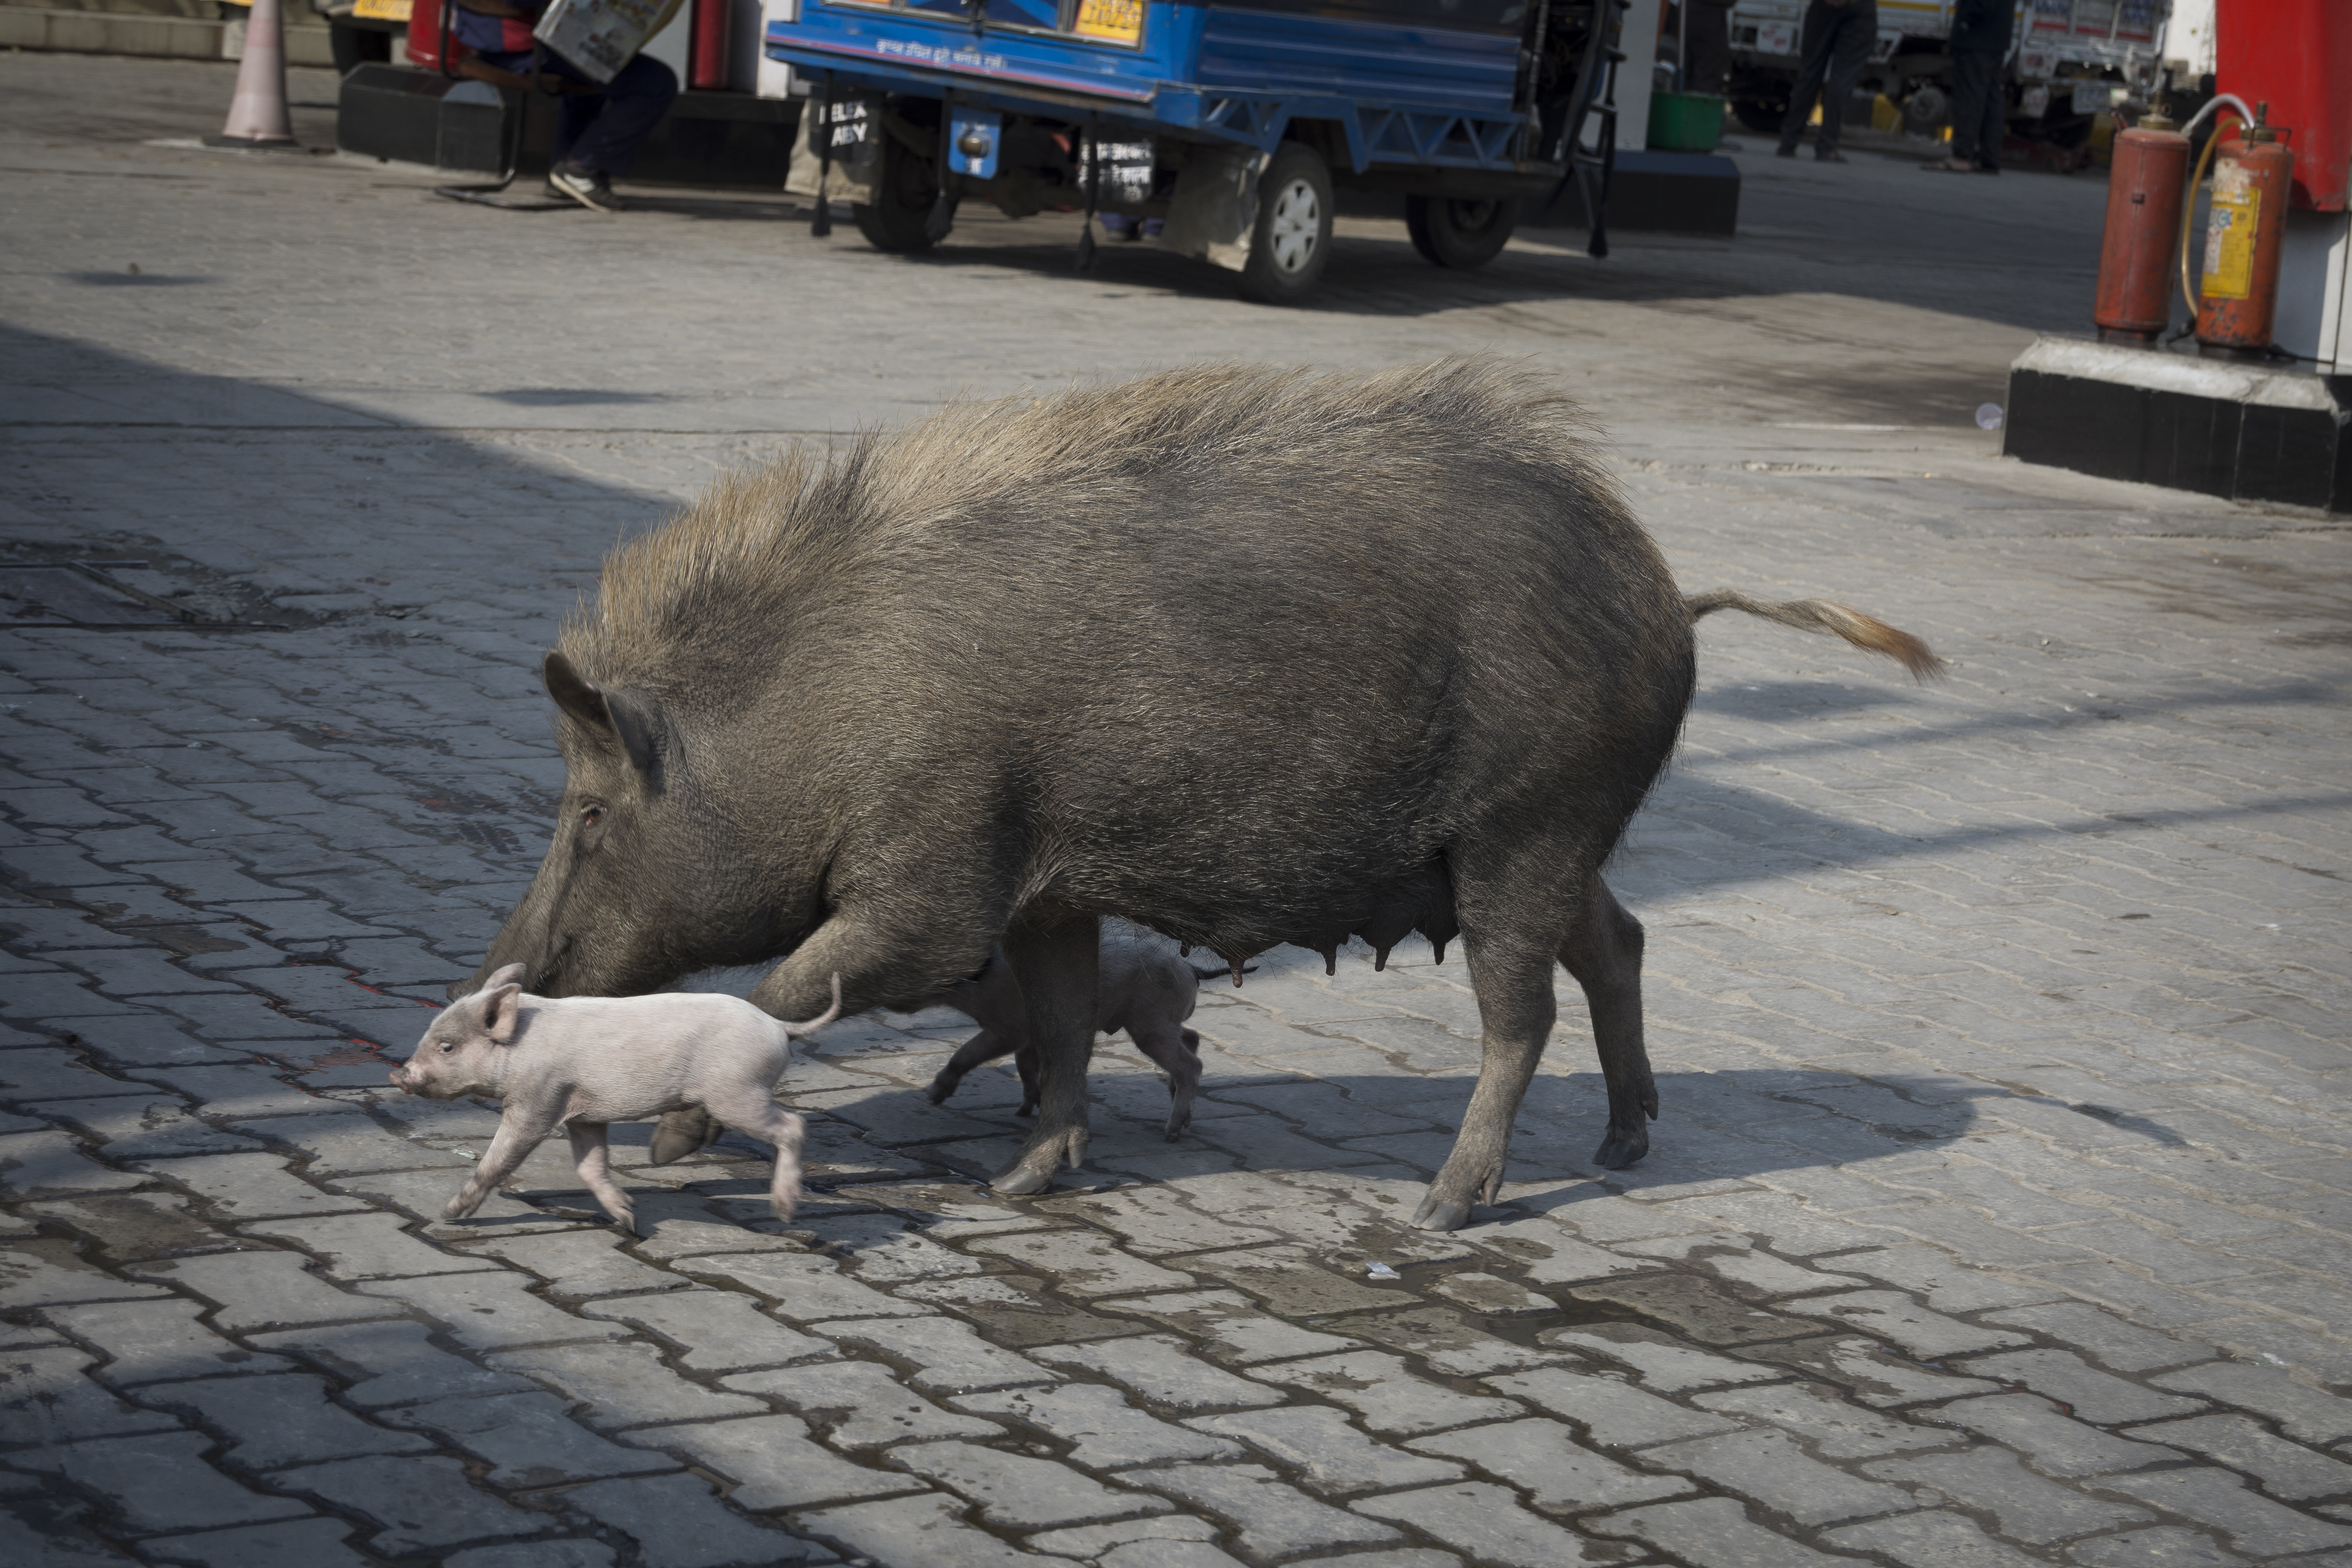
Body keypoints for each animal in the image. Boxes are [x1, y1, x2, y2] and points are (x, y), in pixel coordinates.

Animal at [459, 362, 1929, 1232]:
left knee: (1524, 1013)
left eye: (591, 814)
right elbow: (1058, 1021)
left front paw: (672, 1146)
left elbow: (786, 986)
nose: (495, 982)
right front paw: (1021, 1177)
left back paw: (1438, 1212)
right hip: (1543, 844)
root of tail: (1671, 594)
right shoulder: (1046, 888)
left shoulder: (935, 886)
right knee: (1619, 941)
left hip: (1526, 828)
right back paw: (1625, 1148)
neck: (812, 719)